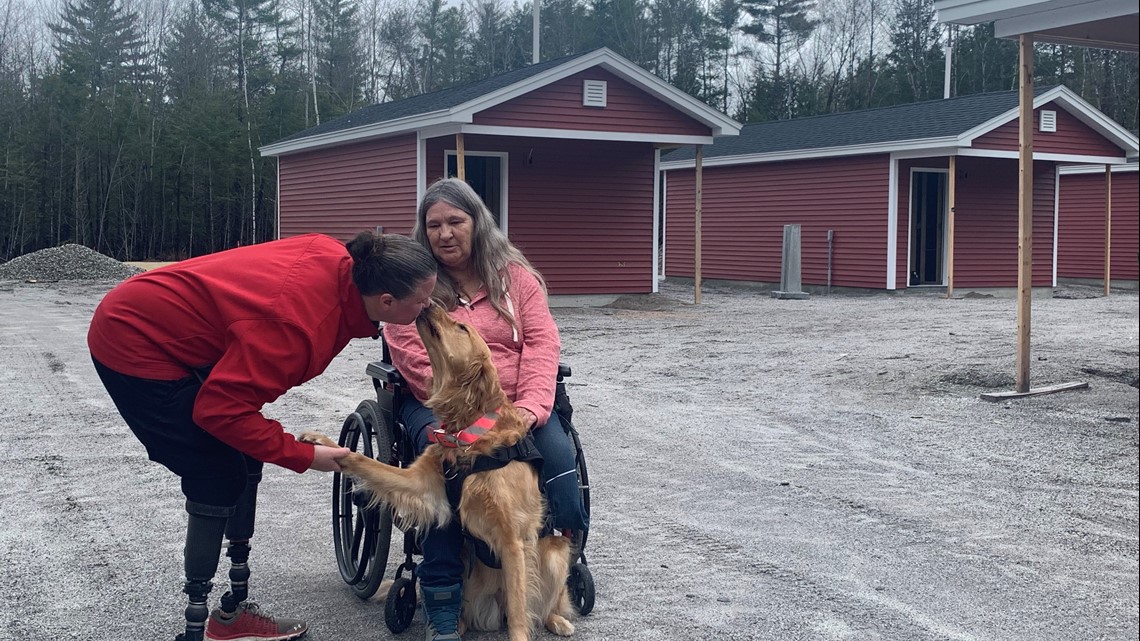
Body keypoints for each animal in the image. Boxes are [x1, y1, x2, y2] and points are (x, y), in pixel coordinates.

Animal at [300, 301, 574, 638]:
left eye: (462, 328)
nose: (428, 302)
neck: (469, 433)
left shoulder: (514, 539)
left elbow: (519, 613)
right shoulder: (422, 484)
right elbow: (366, 462)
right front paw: (323, 444)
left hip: (556, 551)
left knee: (544, 602)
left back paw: (557, 619)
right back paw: (450, 623)